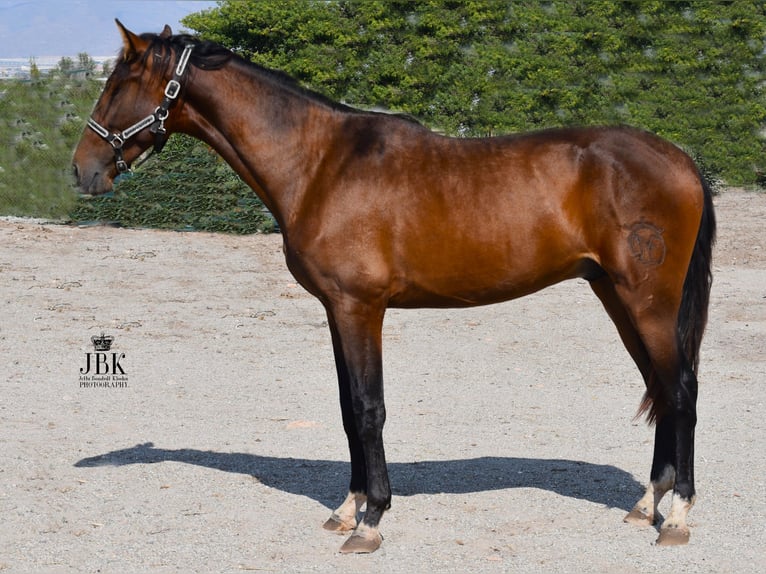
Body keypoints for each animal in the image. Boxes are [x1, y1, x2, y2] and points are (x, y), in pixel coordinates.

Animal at [73, 21, 720, 552]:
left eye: (117, 86)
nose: (82, 169)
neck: (320, 163)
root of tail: (683, 161)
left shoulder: (361, 307)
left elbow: (367, 407)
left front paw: (372, 520)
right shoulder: (336, 310)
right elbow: (345, 407)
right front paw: (347, 508)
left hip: (648, 300)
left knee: (682, 388)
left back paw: (678, 515)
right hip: (616, 295)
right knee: (662, 388)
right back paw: (647, 503)